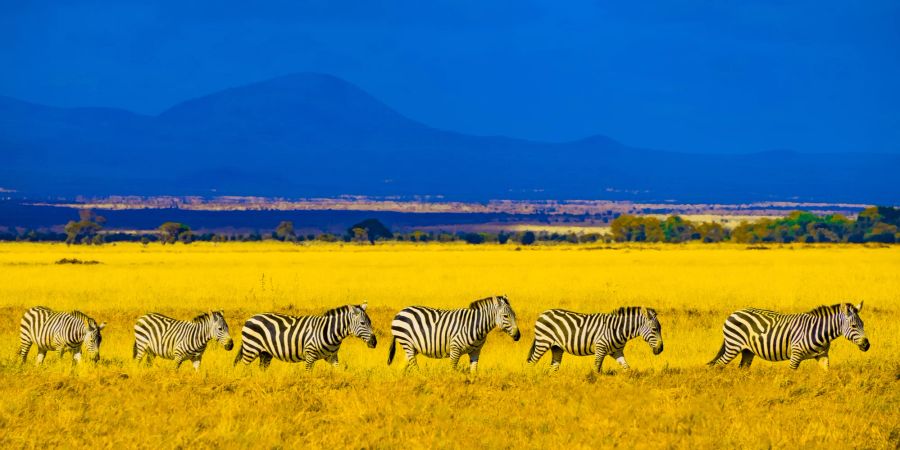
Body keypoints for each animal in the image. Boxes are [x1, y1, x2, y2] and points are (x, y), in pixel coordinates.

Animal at [234, 300, 378, 370]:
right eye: (362, 323)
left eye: (370, 322)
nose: (374, 342)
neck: (331, 331)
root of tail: (250, 318)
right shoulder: (310, 355)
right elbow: (308, 374)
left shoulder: (332, 357)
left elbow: (339, 371)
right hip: (251, 349)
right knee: (243, 367)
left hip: (265, 354)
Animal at [386, 296, 520, 372]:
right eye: (505, 316)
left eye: (514, 315)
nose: (518, 336)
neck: (477, 326)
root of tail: (401, 311)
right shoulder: (455, 348)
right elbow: (452, 370)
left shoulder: (476, 351)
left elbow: (474, 372)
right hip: (407, 342)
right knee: (414, 366)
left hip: (413, 347)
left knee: (402, 366)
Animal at [524, 306, 664, 372]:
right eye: (654, 329)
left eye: (659, 329)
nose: (661, 349)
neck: (618, 329)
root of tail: (543, 313)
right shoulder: (600, 348)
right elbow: (597, 368)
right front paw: (595, 384)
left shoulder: (616, 351)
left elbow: (626, 367)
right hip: (543, 342)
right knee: (531, 362)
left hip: (556, 347)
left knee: (553, 367)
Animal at [708, 302, 868, 370]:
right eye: (854, 326)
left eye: (863, 324)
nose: (867, 345)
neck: (820, 331)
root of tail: (734, 313)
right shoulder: (796, 354)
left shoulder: (822, 355)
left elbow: (826, 373)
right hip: (733, 346)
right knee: (718, 365)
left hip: (747, 351)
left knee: (742, 368)